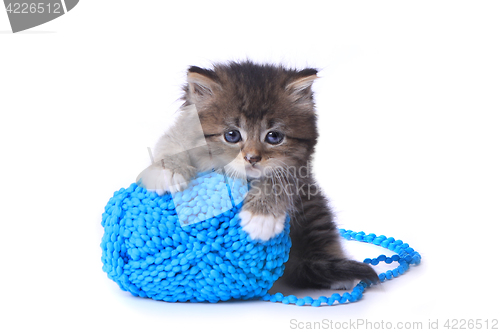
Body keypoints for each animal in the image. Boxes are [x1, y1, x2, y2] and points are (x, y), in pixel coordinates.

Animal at [138, 61, 378, 288]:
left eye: (274, 137)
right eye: (232, 135)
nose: (252, 158)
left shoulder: (298, 172)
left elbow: (278, 181)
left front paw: (261, 216)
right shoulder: (180, 131)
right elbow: (171, 142)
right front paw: (167, 170)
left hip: (313, 207)